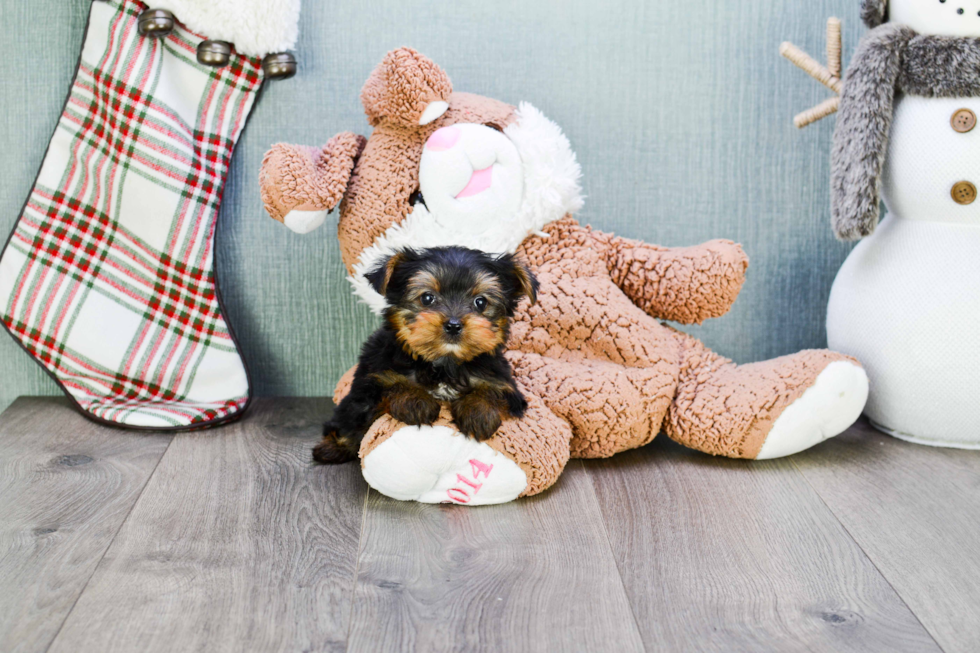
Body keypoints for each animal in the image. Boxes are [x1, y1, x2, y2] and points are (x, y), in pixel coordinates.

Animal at [314, 244, 540, 464]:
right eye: (427, 298)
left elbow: (494, 390)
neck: (445, 364)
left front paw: (478, 412)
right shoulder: (373, 376)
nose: (453, 325)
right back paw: (331, 448)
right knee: (346, 420)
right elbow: (391, 384)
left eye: (481, 302)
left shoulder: (505, 383)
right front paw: (416, 402)